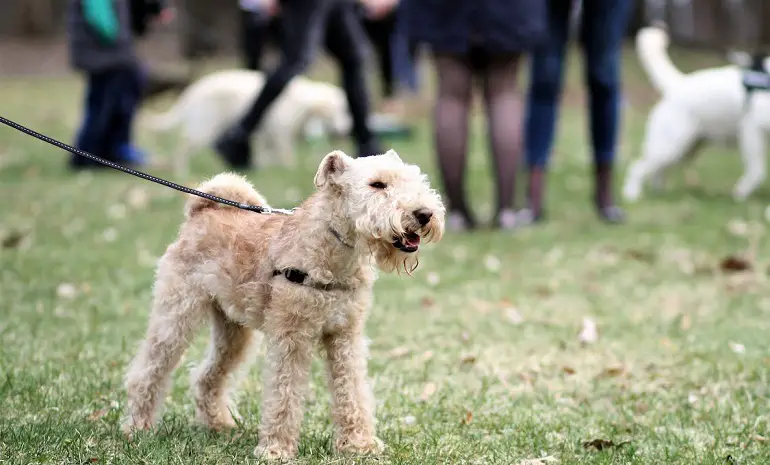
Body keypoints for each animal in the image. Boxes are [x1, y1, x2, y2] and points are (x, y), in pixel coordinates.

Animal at [120, 150, 444, 460]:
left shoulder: (345, 336)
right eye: (377, 184)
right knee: (147, 372)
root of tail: (201, 212)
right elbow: (284, 395)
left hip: (233, 332)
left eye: (414, 179)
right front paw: (275, 449)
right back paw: (137, 427)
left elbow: (352, 391)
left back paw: (220, 425)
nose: (424, 214)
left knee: (206, 377)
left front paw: (359, 444)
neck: (331, 251)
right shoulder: (292, 338)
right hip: (176, 315)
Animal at [142, 67, 352, 172]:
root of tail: (194, 90)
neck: (304, 104)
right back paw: (181, 171)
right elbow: (286, 156)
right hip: (203, 129)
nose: (346, 130)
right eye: (338, 111)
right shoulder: (280, 134)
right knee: (181, 149)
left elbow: (267, 155)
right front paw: (286, 168)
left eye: (347, 110)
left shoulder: (268, 137)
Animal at [620, 24, 768, 200]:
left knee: (658, 172)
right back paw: (632, 194)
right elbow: (757, 171)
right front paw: (741, 192)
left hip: (685, 149)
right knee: (637, 168)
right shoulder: (752, 131)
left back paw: (659, 193)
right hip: (669, 146)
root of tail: (679, 83)